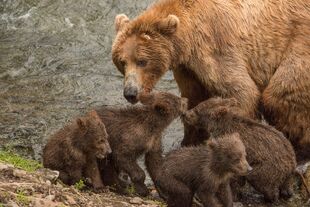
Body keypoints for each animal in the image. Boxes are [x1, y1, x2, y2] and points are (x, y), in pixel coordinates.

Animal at [111, 0, 310, 157]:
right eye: (122, 61)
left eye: (142, 61)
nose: (130, 92)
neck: (187, 40)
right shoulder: (188, 70)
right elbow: (194, 100)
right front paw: (189, 141)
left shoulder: (214, 46)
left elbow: (242, 92)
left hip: (299, 44)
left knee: (279, 94)